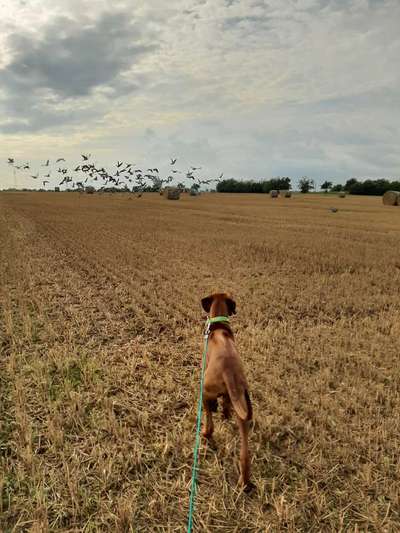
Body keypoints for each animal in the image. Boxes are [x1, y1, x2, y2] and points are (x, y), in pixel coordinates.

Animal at [200, 294, 253, 488]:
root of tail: (229, 371)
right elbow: (225, 402)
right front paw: (225, 412)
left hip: (204, 389)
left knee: (209, 418)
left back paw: (206, 432)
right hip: (242, 406)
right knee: (245, 454)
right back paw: (244, 481)